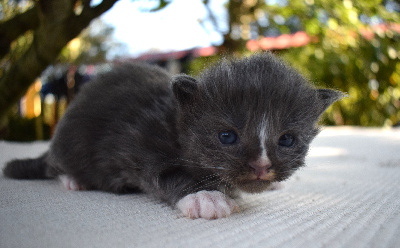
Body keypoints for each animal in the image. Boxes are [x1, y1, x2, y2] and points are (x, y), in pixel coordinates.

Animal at [3, 53, 342, 220]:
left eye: (287, 140)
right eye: (227, 136)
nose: (261, 167)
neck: (176, 121)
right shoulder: (140, 142)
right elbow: (169, 174)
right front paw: (206, 196)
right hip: (71, 145)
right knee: (56, 166)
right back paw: (73, 179)